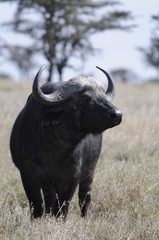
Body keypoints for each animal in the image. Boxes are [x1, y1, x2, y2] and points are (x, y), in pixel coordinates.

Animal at [9, 65, 121, 219]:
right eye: (85, 99)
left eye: (103, 96)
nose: (118, 114)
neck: (53, 149)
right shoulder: (27, 176)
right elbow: (37, 206)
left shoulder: (72, 177)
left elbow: (62, 207)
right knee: (50, 200)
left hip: (89, 172)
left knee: (85, 198)